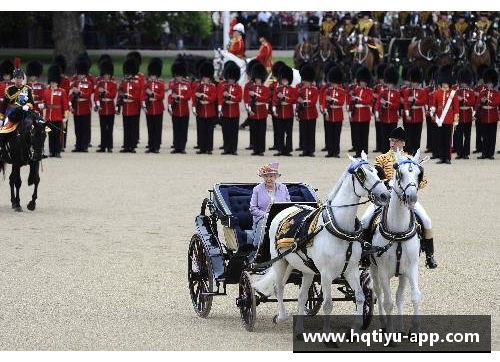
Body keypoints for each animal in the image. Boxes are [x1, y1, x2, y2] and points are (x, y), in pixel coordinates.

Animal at [254, 152, 390, 340]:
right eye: (361, 174)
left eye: (377, 172)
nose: (385, 196)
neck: (339, 229)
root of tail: (284, 209)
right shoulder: (325, 274)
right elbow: (327, 304)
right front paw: (328, 335)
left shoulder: (351, 269)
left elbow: (360, 297)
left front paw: (355, 329)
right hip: (280, 261)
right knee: (278, 287)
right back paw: (281, 317)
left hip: (306, 269)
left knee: (302, 296)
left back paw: (299, 329)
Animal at [372, 148, 426, 338]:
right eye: (399, 173)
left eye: (419, 174)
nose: (411, 197)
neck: (398, 233)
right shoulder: (382, 271)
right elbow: (387, 302)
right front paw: (390, 333)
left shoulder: (411, 268)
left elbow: (415, 296)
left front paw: (415, 330)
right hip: (373, 269)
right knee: (378, 293)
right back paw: (383, 323)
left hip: (402, 274)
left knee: (399, 296)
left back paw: (401, 327)